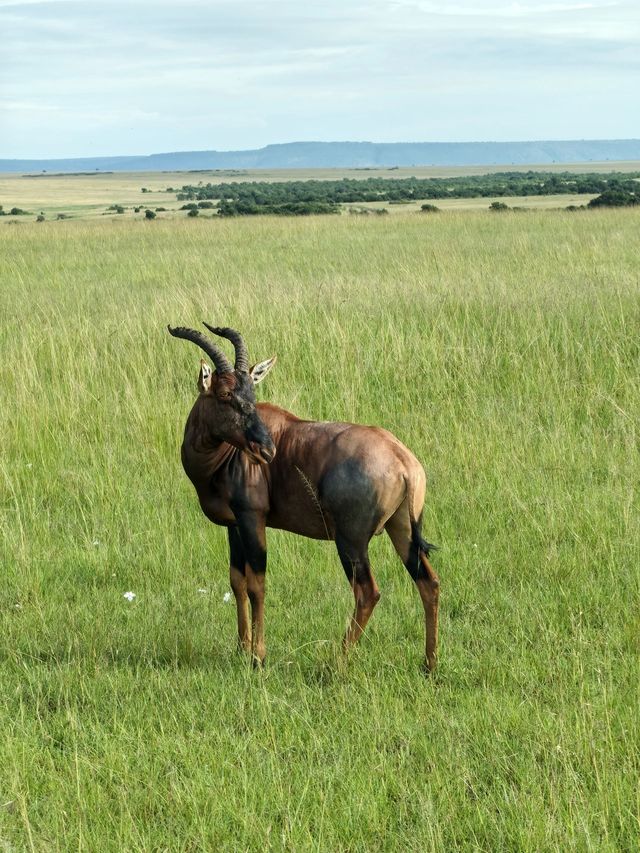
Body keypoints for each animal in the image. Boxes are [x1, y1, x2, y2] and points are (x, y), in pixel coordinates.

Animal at [169, 322, 440, 668]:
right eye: (225, 393)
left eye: (252, 392)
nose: (266, 450)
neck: (222, 456)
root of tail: (404, 461)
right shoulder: (234, 525)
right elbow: (236, 580)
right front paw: (242, 649)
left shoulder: (252, 518)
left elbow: (257, 584)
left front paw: (258, 657)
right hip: (402, 529)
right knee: (428, 583)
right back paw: (429, 665)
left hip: (351, 540)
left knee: (367, 592)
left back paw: (336, 663)